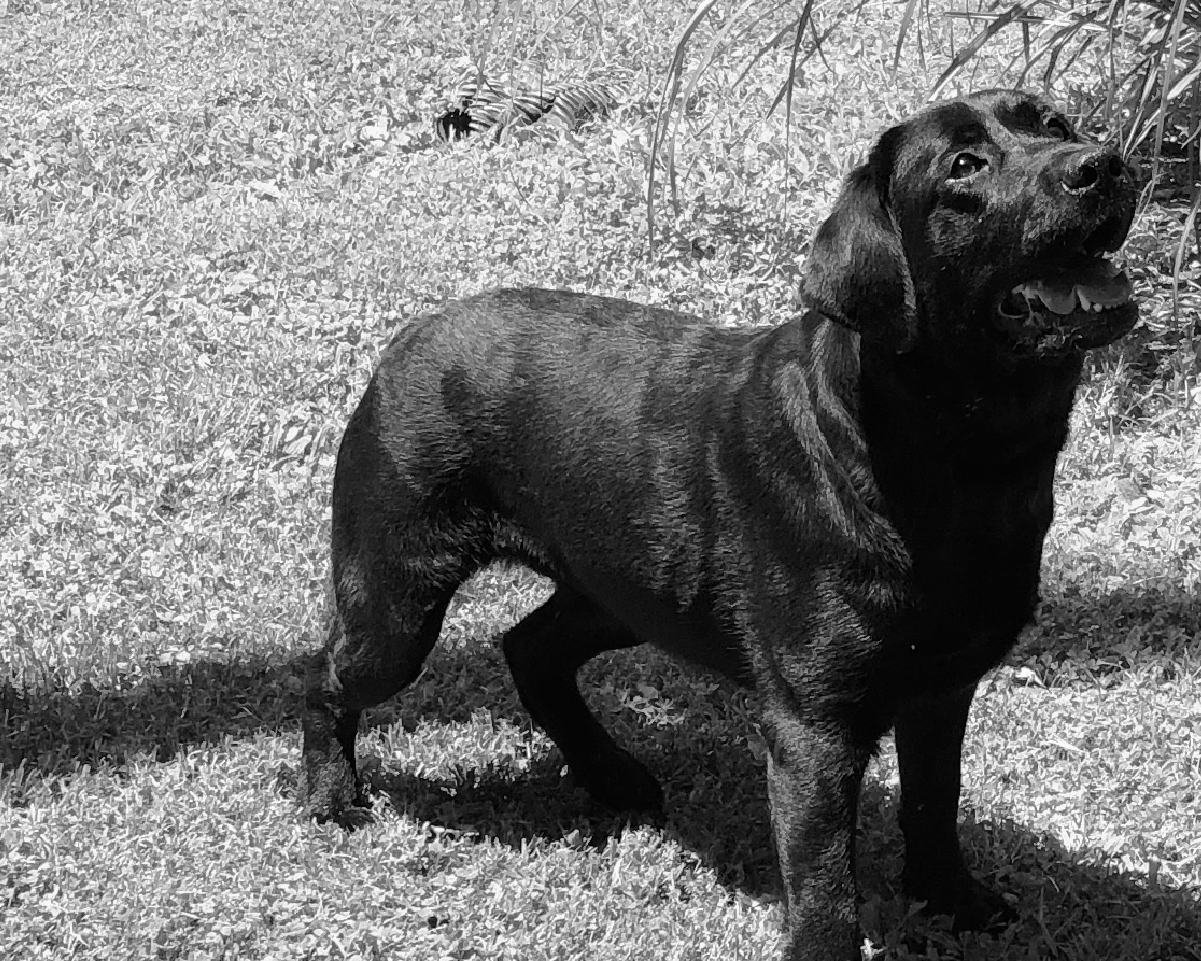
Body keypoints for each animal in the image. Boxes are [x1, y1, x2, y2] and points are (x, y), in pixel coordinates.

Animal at [301, 89, 1139, 960]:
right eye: (963, 167)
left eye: (1054, 124)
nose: (1102, 164)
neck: (947, 456)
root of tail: (409, 336)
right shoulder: (812, 726)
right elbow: (824, 888)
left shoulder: (942, 686)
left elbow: (933, 806)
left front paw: (953, 901)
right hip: (397, 604)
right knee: (326, 680)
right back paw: (332, 797)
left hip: (626, 587)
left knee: (529, 647)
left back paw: (610, 772)